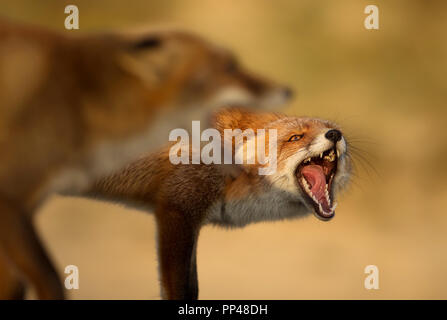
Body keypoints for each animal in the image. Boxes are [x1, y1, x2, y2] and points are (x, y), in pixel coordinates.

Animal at [86, 108, 354, 300]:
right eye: (295, 137)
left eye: (331, 128)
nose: (334, 134)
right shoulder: (178, 210)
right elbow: (180, 291)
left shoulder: (192, 219)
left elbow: (193, 289)